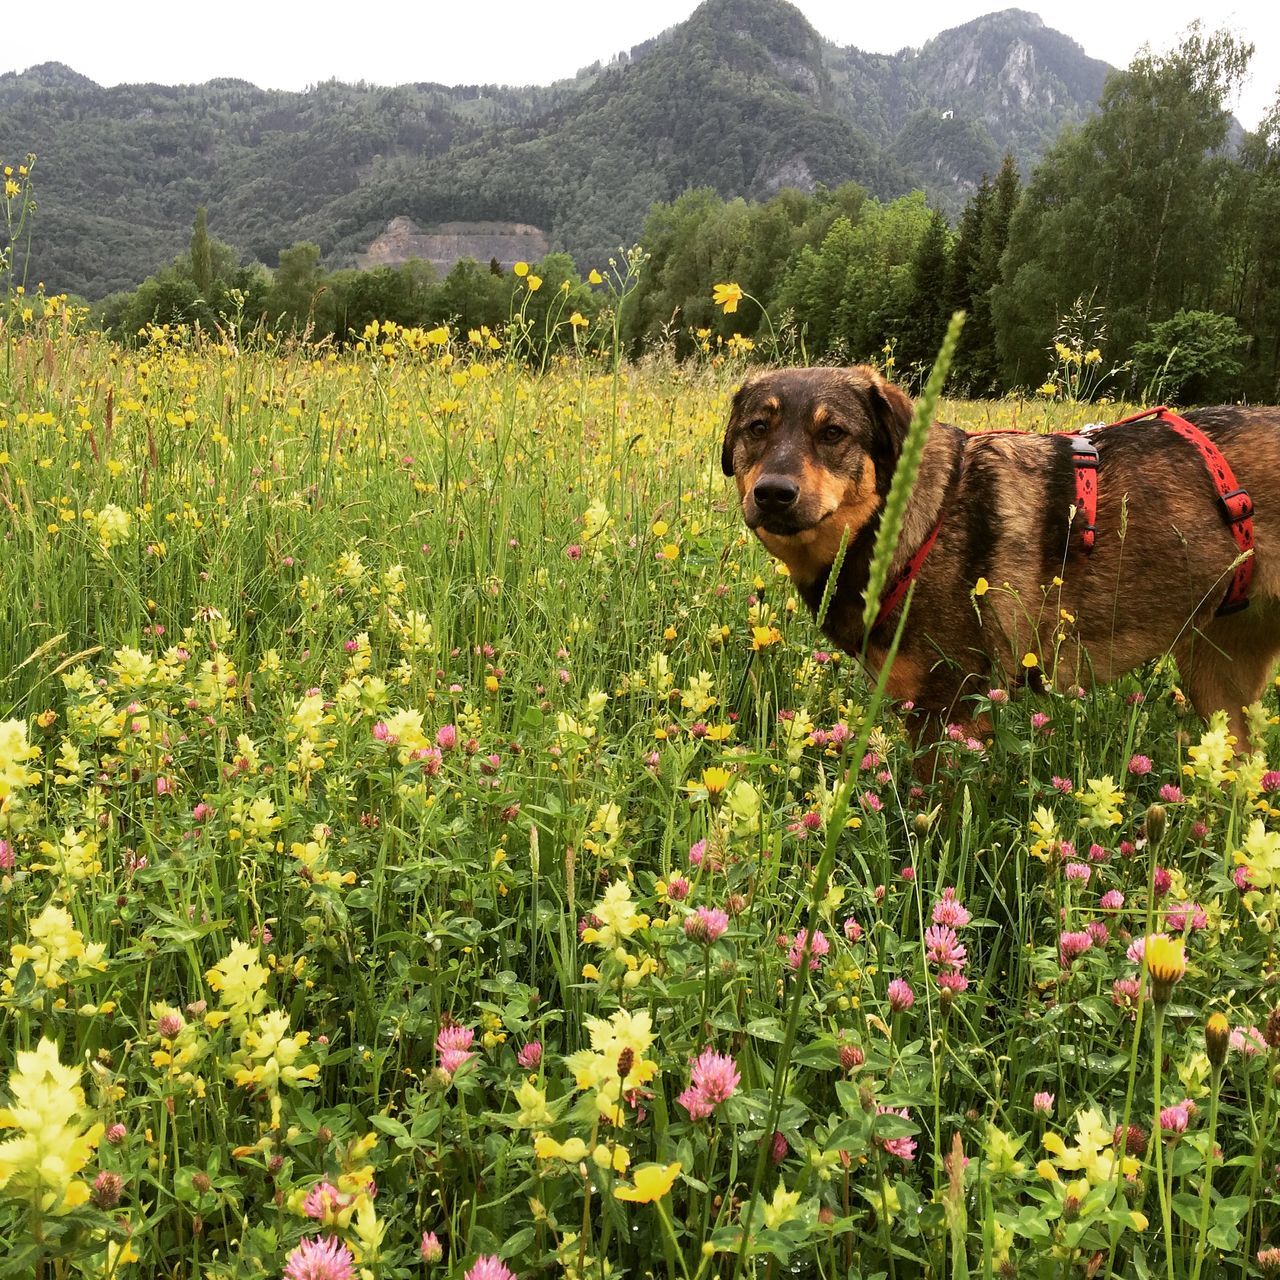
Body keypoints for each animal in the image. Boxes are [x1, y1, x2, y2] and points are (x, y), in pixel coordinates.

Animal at [721, 366, 1280, 747]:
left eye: (833, 433)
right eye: (757, 428)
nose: (773, 493)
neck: (912, 522)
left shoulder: (950, 706)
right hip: (1216, 674)